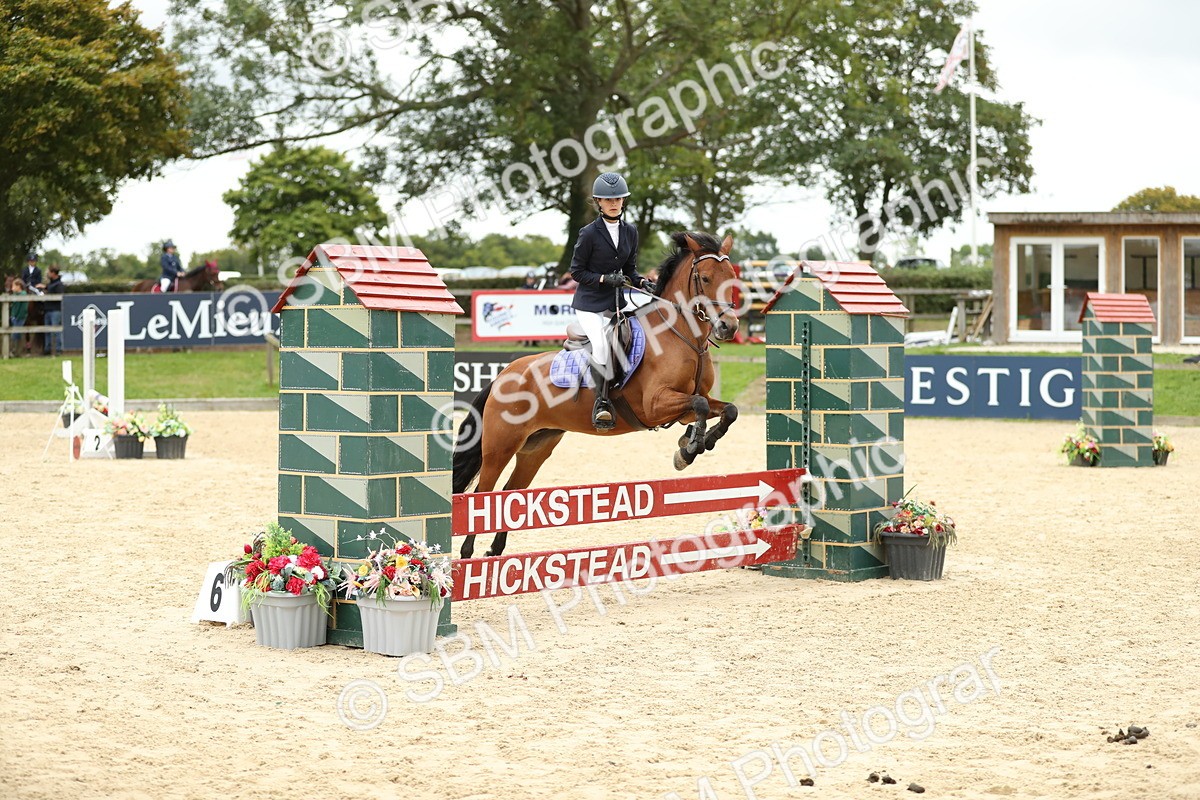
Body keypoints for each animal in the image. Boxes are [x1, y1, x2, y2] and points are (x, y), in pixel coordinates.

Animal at [453, 231, 742, 558]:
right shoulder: (655, 404)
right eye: (705, 278)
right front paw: (689, 449)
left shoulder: (684, 406)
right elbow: (701, 404)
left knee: (510, 493)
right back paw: (467, 554)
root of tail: (504, 374)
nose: (728, 327)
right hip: (500, 445)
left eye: (731, 278)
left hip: (536, 446)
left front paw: (696, 441)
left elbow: (726, 409)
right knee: (483, 492)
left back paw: (495, 551)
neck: (681, 336)